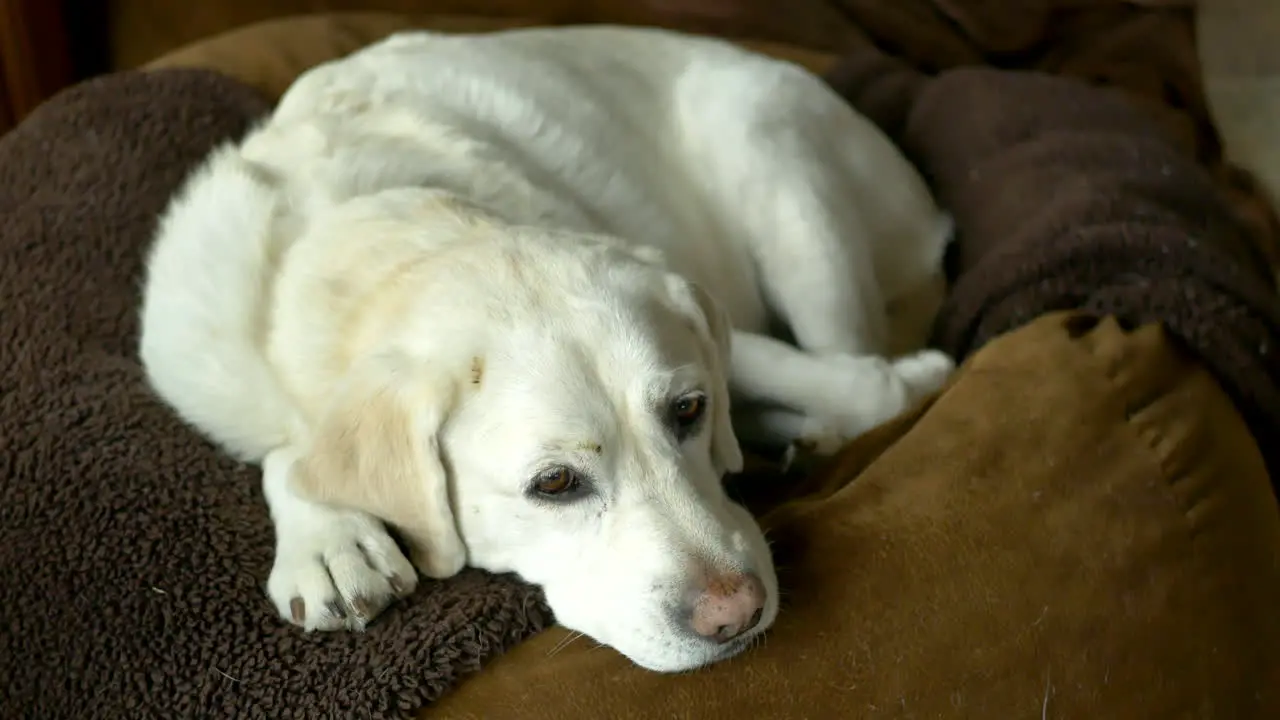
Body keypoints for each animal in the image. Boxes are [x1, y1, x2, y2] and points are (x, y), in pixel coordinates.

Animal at [140, 25, 957, 671]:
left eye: (689, 411)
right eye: (555, 483)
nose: (737, 612)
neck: (356, 239)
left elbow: (864, 385)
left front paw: (913, 383)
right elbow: (295, 452)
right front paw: (329, 539)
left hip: (773, 162)